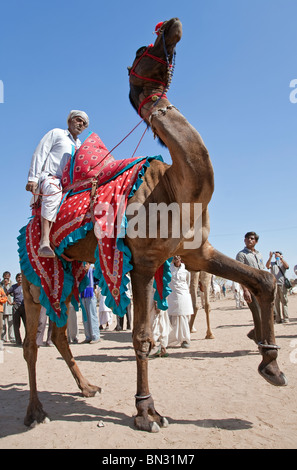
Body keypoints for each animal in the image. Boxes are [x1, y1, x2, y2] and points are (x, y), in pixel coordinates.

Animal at [22, 18, 286, 434]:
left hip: (71, 271)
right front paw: (146, 412)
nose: (171, 25)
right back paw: (35, 411)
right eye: (139, 49)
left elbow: (264, 279)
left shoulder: (196, 252)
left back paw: (88, 387)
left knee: (61, 333)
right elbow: (142, 336)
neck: (177, 187)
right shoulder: (144, 261)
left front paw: (271, 364)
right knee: (33, 342)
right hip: (34, 276)